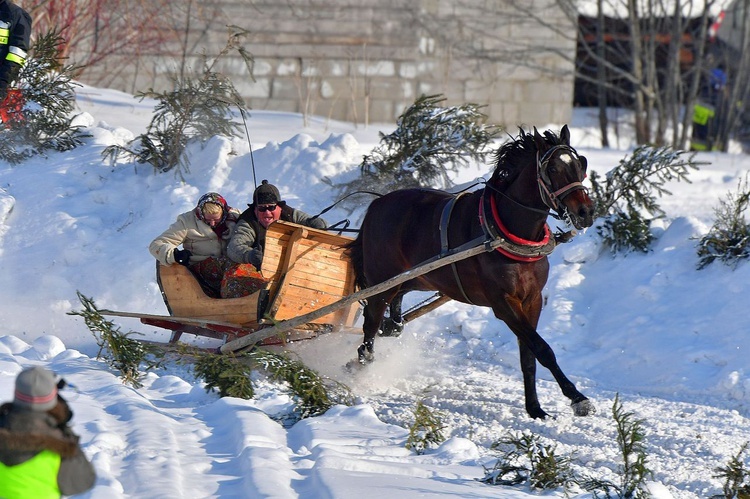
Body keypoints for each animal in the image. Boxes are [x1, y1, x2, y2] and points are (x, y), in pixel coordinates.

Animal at [348, 127, 600, 420]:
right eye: (553, 169)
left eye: (580, 165)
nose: (585, 212)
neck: (505, 231)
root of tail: (376, 205)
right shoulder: (503, 303)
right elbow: (543, 349)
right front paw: (577, 398)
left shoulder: (532, 299)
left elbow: (529, 355)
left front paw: (535, 407)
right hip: (382, 282)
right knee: (370, 323)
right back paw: (363, 362)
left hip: (417, 277)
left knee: (392, 312)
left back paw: (392, 325)